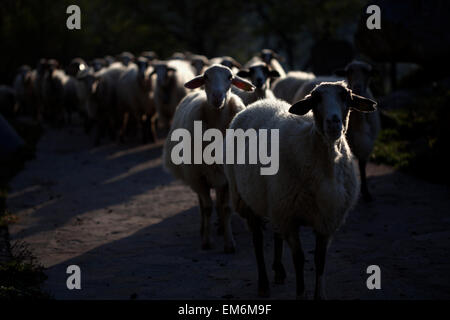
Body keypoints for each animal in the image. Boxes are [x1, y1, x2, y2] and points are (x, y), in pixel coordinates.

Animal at [162, 64, 255, 252]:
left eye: (230, 77)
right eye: (205, 77)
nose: (217, 97)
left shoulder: (226, 178)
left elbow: (226, 208)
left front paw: (229, 243)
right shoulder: (198, 177)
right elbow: (206, 208)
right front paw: (206, 241)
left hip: (217, 174)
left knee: (219, 204)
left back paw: (221, 227)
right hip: (196, 175)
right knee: (202, 204)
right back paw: (203, 228)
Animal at [224, 81, 376, 298]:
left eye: (346, 97)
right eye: (316, 99)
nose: (333, 122)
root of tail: (258, 103)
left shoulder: (325, 220)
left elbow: (319, 260)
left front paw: (319, 295)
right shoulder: (290, 219)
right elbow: (299, 259)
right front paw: (300, 293)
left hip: (275, 201)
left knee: (276, 233)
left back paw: (279, 271)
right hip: (247, 199)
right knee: (258, 241)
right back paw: (264, 284)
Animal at [334, 60, 380, 200]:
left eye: (367, 72)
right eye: (348, 72)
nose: (357, 87)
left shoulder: (365, 144)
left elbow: (362, 166)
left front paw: (366, 192)